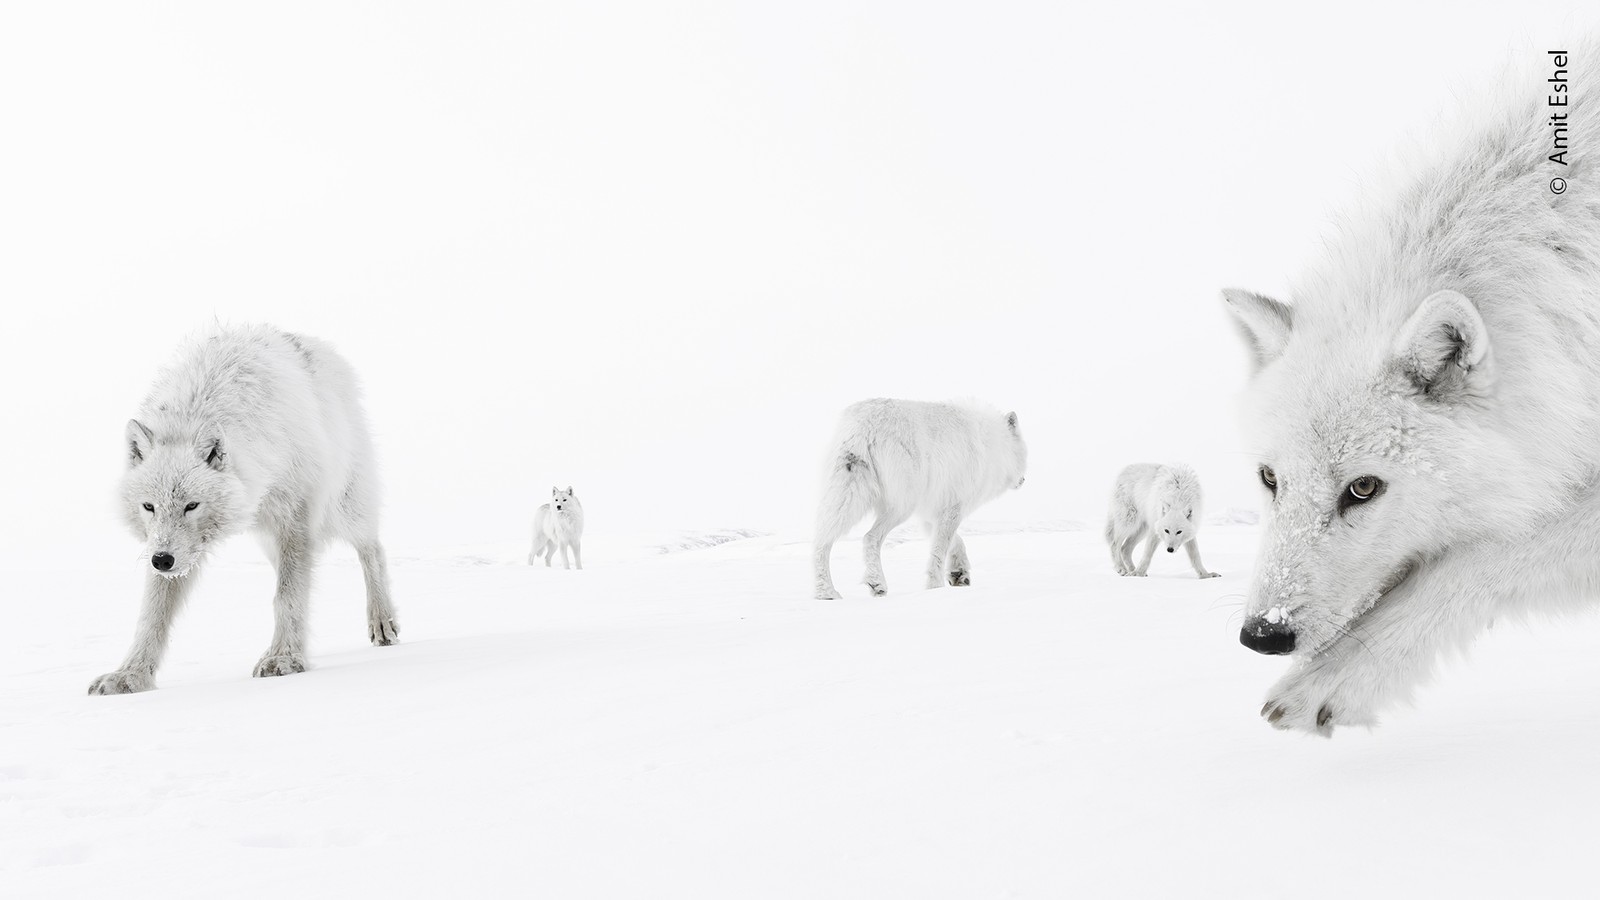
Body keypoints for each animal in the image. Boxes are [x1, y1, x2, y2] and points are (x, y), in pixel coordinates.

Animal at [88, 325, 398, 695]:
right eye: (149, 506)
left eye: (191, 506)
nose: (161, 561)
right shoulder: (170, 549)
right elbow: (152, 615)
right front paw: (130, 676)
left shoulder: (295, 520)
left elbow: (287, 596)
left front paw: (284, 658)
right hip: (267, 539)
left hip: (342, 508)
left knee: (373, 549)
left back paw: (382, 621)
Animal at [812, 398, 1027, 600]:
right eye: (1024, 453)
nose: (1024, 481)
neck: (992, 443)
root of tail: (865, 424)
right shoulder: (953, 508)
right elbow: (939, 550)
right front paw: (935, 587)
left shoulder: (932, 512)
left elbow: (955, 541)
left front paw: (959, 572)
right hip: (901, 507)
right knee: (869, 537)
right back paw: (876, 583)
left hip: (847, 498)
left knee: (822, 541)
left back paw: (826, 593)